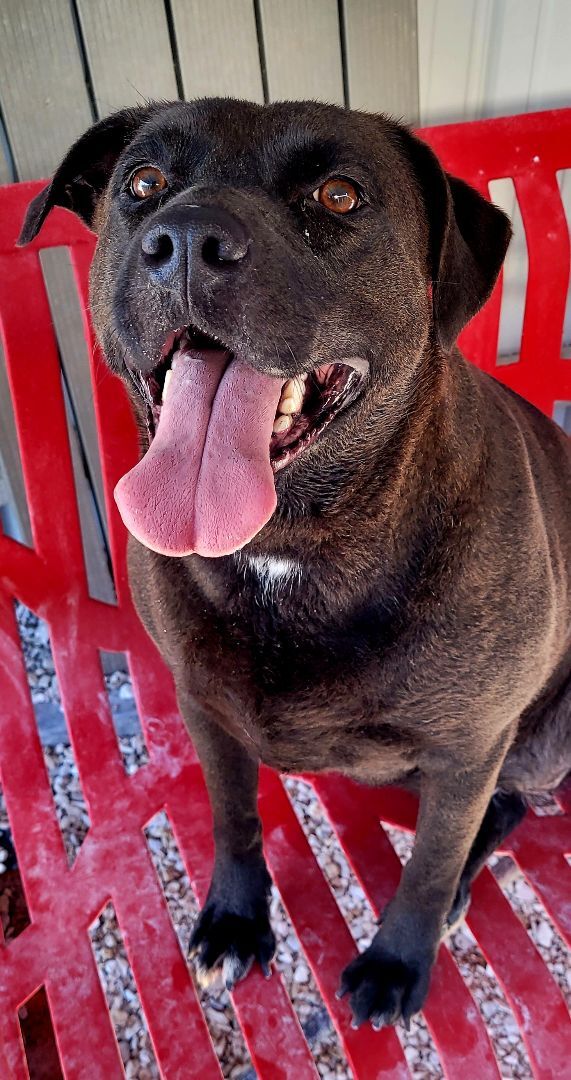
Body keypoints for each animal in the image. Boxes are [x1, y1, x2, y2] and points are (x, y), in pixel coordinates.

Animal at [18, 101, 569, 1028]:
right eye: (143, 183)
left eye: (339, 195)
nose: (189, 238)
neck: (290, 546)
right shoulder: (204, 706)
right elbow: (233, 817)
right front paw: (236, 920)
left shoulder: (469, 745)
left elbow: (428, 864)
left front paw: (398, 959)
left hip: (538, 737)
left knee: (506, 805)